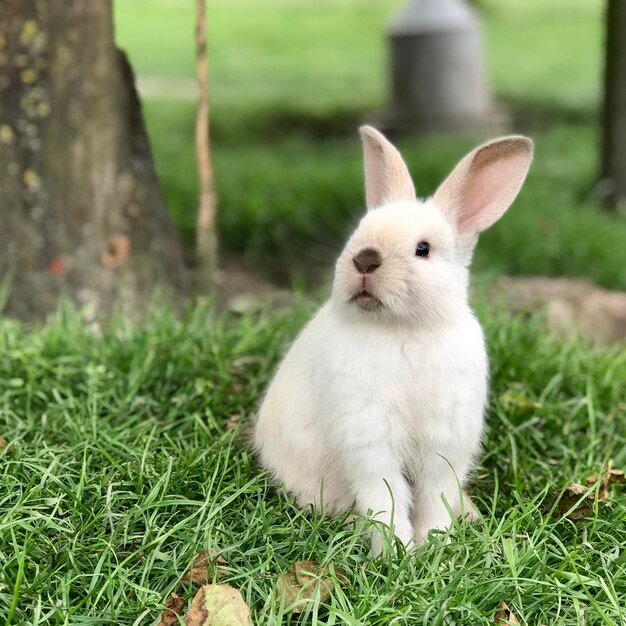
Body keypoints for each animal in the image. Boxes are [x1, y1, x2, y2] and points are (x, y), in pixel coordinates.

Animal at [254, 125, 532, 552]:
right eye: (358, 234)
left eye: (423, 249)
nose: (365, 259)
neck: (404, 329)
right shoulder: (369, 440)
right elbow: (384, 496)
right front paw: (395, 552)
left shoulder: (444, 441)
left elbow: (435, 494)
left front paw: (435, 544)